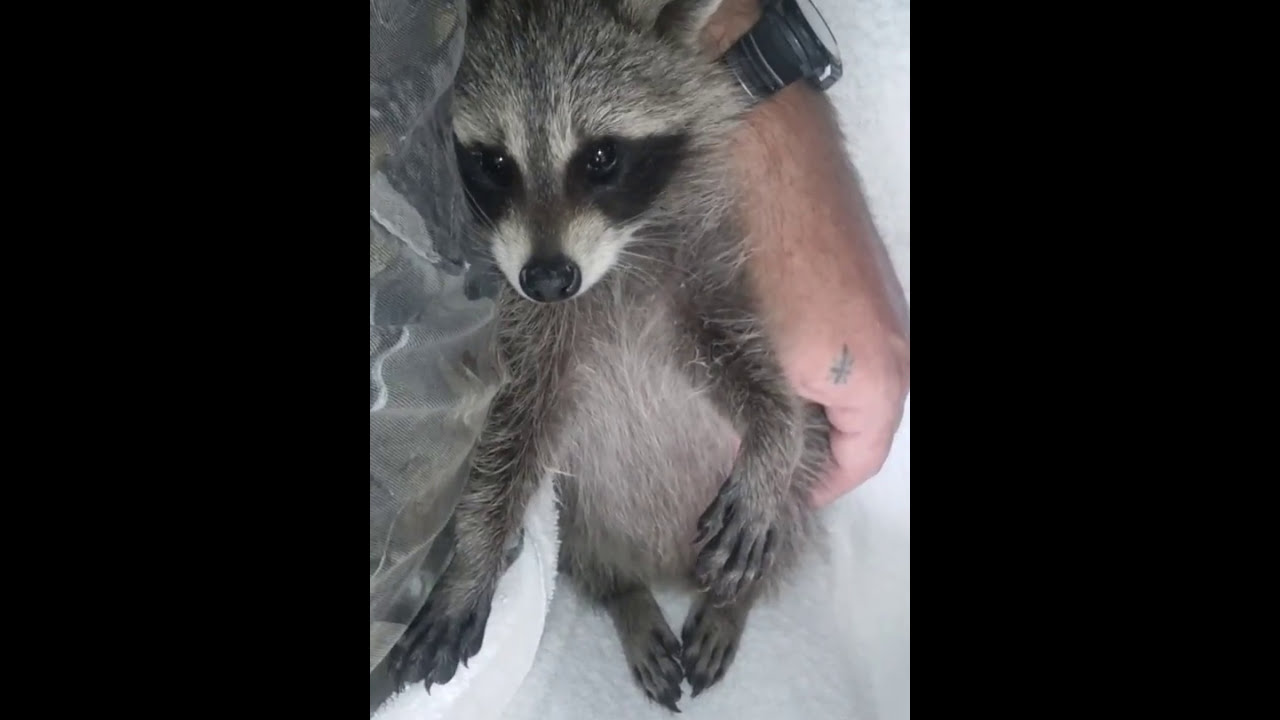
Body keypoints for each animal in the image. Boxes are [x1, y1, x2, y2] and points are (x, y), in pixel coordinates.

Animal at [387, 0, 833, 710]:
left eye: (600, 156)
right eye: (494, 163)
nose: (547, 278)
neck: (610, 270)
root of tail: (669, 563)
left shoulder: (703, 273)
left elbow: (754, 366)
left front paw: (772, 435)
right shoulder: (520, 331)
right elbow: (502, 443)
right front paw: (474, 559)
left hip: (794, 496)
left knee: (791, 499)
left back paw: (731, 599)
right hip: (582, 519)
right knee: (586, 548)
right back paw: (626, 593)